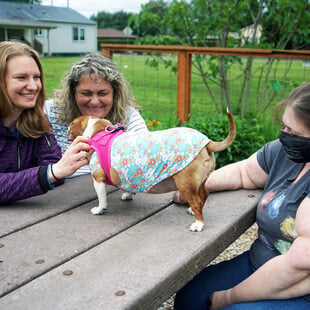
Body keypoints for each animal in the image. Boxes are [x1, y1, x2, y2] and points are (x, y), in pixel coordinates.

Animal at [69, 112, 236, 232]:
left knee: (196, 202)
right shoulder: (126, 174)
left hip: (185, 184)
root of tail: (208, 142)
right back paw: (192, 210)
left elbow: (102, 199)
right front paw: (128, 194)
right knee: (204, 195)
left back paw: (198, 224)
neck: (98, 132)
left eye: (70, 126)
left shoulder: (98, 179)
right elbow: (128, 185)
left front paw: (100, 209)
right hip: (198, 182)